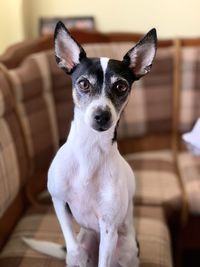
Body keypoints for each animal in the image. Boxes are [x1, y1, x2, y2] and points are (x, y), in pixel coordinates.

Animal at [24, 21, 157, 267]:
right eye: (84, 84)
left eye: (121, 87)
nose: (102, 116)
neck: (90, 150)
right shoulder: (58, 201)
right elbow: (72, 246)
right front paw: (75, 256)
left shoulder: (108, 228)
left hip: (126, 248)